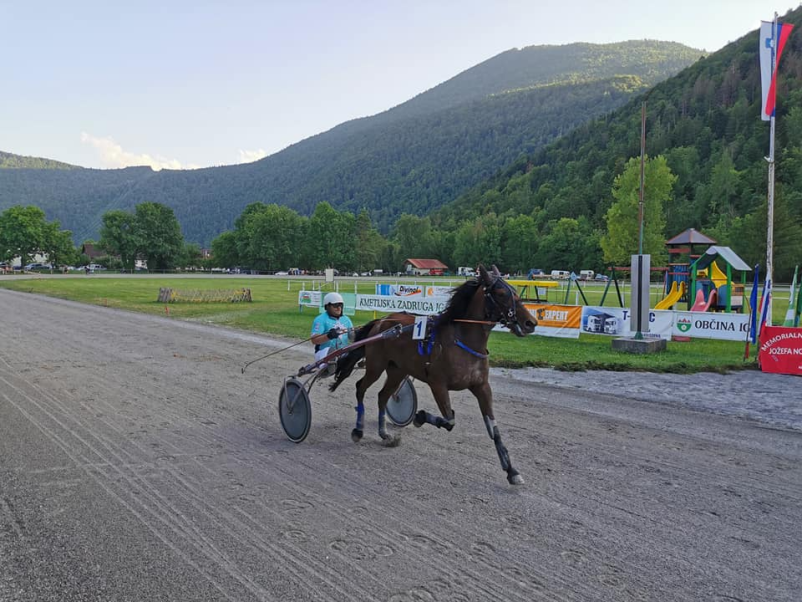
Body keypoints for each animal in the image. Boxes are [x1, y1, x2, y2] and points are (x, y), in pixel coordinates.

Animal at [332, 262, 536, 482]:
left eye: (514, 291)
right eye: (500, 293)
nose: (531, 323)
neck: (462, 340)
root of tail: (381, 322)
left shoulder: (481, 386)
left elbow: (493, 429)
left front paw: (512, 471)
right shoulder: (438, 384)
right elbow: (449, 420)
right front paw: (419, 417)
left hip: (397, 370)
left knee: (382, 396)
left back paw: (384, 433)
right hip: (376, 366)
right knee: (360, 388)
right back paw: (358, 430)